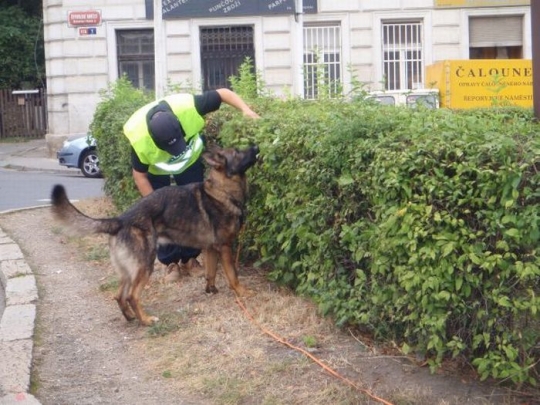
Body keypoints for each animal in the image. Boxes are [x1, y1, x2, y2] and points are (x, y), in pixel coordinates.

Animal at [50, 145, 260, 326]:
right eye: (238, 152)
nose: (256, 146)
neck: (222, 190)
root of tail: (120, 220)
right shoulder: (224, 247)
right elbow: (232, 275)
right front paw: (243, 292)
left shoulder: (210, 249)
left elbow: (211, 273)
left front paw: (211, 290)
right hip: (145, 265)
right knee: (132, 296)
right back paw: (145, 320)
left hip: (129, 270)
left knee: (119, 295)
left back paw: (130, 317)